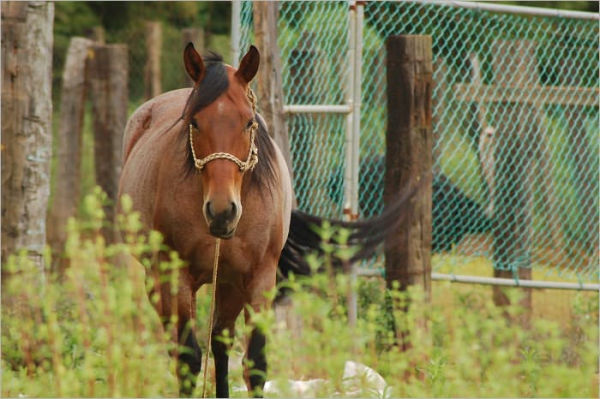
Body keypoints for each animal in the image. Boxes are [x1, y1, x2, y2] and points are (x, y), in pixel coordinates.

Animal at [119, 43, 414, 396]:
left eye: (248, 123)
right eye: (194, 122)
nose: (222, 211)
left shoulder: (258, 277)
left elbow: (255, 363)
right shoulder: (175, 277)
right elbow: (189, 360)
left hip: (228, 284)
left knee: (220, 341)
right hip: (158, 279)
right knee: (179, 347)